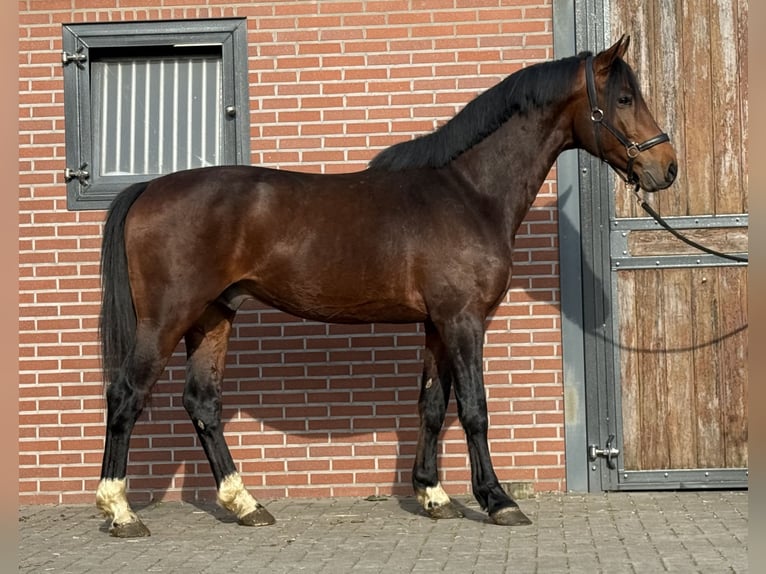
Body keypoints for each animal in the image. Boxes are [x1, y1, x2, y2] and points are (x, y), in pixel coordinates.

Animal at [95, 35, 677, 537]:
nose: (666, 167)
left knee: (203, 403)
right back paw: (121, 510)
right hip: (166, 319)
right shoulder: (463, 321)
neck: (468, 193)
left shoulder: (438, 325)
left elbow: (431, 405)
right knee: (127, 394)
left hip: (213, 316)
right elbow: (474, 408)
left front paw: (433, 496)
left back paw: (245, 504)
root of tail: (148, 188)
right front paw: (497, 500)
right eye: (624, 97)